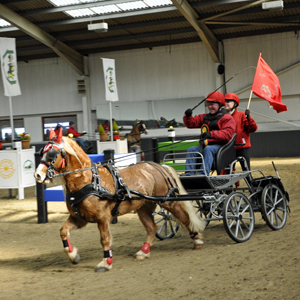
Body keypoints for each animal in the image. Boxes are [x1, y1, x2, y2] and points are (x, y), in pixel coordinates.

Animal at [33, 127, 206, 274]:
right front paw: (73, 256)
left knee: (184, 217)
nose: (37, 175)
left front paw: (106, 262)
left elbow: (105, 239)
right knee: (152, 228)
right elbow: (63, 231)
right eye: (42, 152)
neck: (89, 181)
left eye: (52, 153)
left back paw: (197, 239)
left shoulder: (102, 218)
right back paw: (143, 251)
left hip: (167, 201)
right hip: (144, 206)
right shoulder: (79, 219)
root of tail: (159, 167)